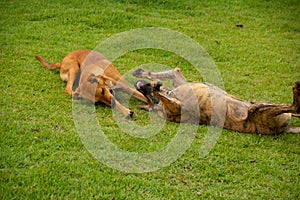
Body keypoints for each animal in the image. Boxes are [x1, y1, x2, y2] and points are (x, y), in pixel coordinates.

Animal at [134, 68, 300, 135]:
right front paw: (155, 86)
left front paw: (142, 73)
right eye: (150, 101)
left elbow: (164, 73)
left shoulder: (178, 79)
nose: (139, 86)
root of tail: (285, 129)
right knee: (294, 106)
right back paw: (296, 89)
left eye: (147, 97)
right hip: (260, 111)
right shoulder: (176, 107)